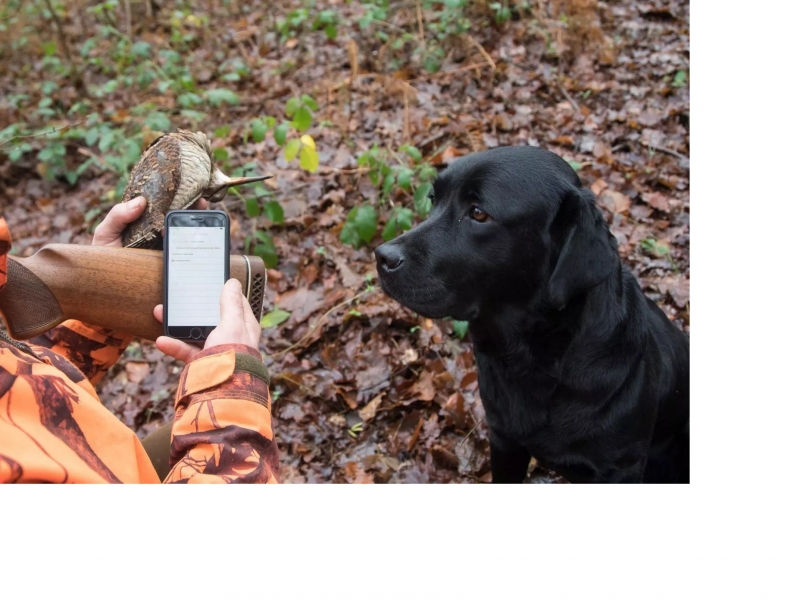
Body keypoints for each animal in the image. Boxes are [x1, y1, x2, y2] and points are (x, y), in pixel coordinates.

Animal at [375, 146, 689, 483]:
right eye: (433, 199)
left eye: (479, 213)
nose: (382, 257)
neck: (535, 358)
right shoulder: (504, 440)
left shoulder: (621, 469)